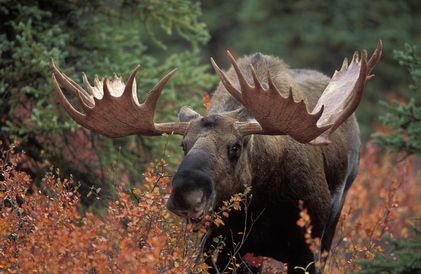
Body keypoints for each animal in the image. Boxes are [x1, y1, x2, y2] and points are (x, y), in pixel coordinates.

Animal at [49, 41, 380, 274]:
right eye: (183, 145)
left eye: (235, 147)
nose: (185, 194)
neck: (260, 206)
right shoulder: (218, 249)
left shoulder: (306, 249)